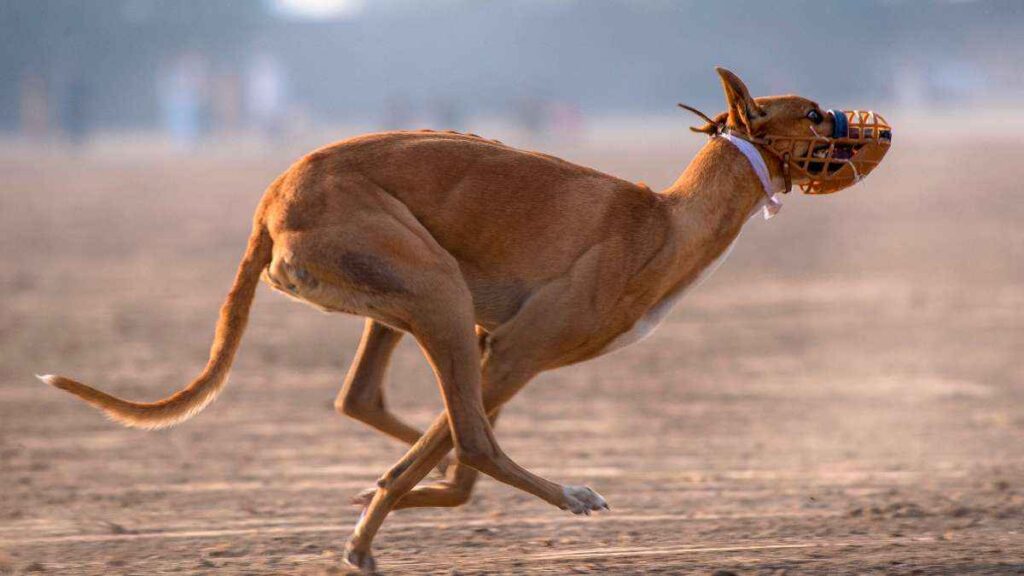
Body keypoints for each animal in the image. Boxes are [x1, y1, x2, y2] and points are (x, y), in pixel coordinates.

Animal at [37, 67, 888, 569]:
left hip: (415, 305)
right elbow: (463, 451)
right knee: (467, 437)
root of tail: (271, 201)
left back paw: (383, 498)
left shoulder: (494, 350)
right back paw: (538, 497)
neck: (667, 221)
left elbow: (444, 461)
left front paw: (381, 504)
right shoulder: (512, 350)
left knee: (376, 405)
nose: (877, 130)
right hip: (435, 289)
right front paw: (378, 516)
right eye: (815, 113)